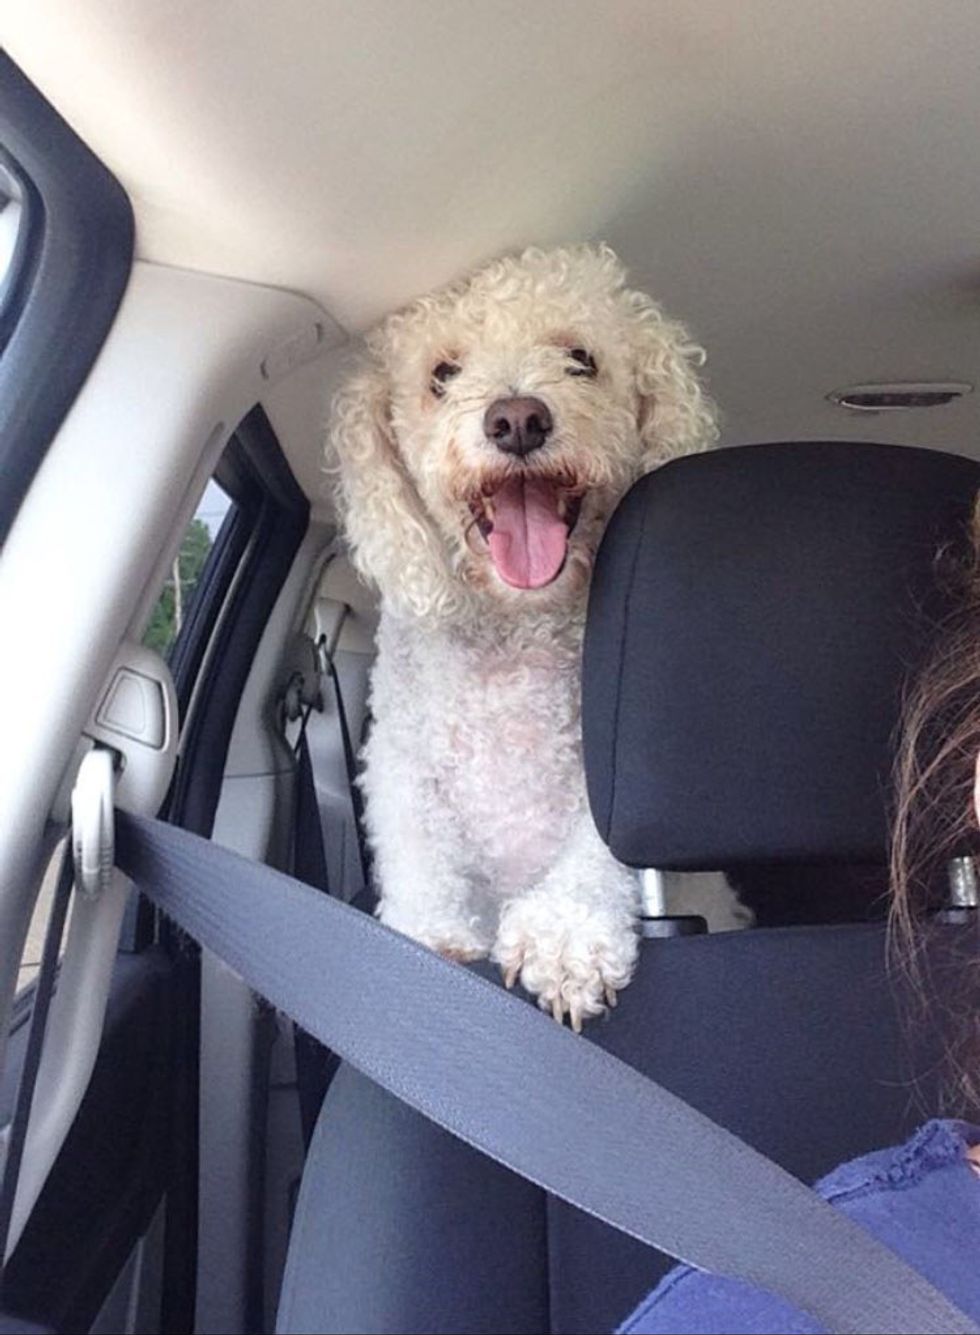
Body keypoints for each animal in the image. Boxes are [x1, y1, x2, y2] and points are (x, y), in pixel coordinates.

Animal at [329, 244, 717, 1027]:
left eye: (581, 358)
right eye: (441, 374)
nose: (516, 419)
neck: (516, 627)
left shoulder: (616, 774)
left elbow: (603, 847)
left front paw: (564, 933)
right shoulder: (400, 759)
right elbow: (416, 843)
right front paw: (427, 939)